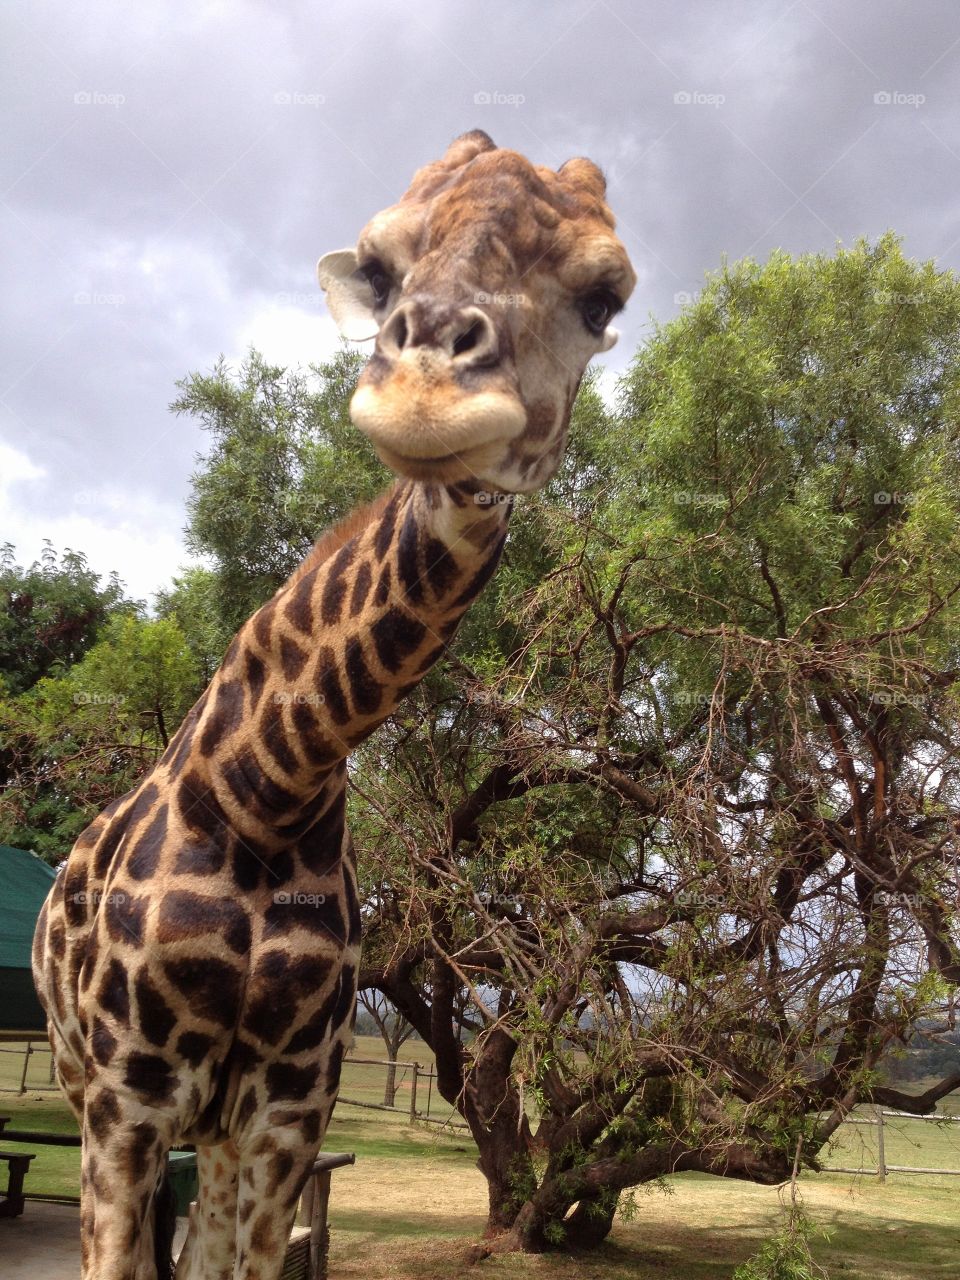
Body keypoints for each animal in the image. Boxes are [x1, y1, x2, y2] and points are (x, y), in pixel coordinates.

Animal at [32, 129, 636, 1280]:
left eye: (604, 293)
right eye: (384, 264)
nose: (425, 387)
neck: (269, 784)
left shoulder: (283, 1109)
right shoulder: (128, 1099)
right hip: (84, 1081)